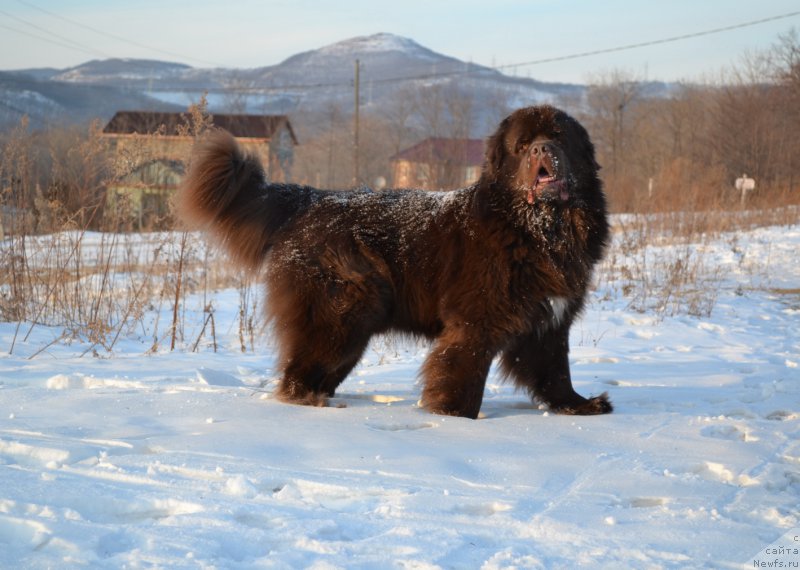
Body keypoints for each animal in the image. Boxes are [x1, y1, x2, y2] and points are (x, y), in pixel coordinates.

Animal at [178, 105, 608, 418]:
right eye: (522, 145)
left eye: (558, 138)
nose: (541, 149)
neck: (541, 229)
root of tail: (310, 198)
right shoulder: (476, 321)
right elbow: (462, 370)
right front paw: (455, 417)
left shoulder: (549, 321)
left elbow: (554, 371)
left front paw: (578, 405)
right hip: (343, 311)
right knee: (298, 372)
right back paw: (315, 404)